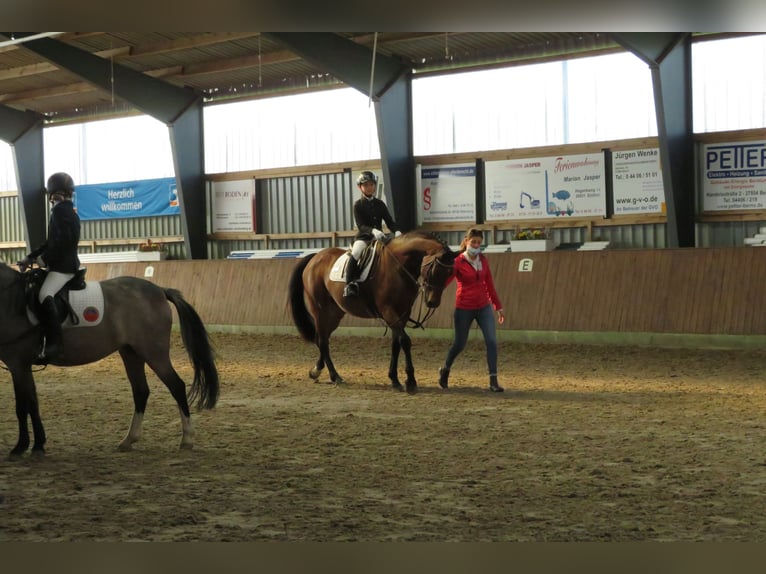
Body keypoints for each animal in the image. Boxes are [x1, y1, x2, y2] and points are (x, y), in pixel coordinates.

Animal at [0, 264, 219, 462]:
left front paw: (27, 447)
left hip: (153, 353)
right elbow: (28, 405)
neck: (11, 300)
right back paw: (128, 440)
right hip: (131, 352)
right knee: (141, 391)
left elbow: (25, 406)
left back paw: (187, 440)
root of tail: (159, 290)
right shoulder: (19, 366)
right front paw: (30, 446)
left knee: (176, 386)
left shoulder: (19, 364)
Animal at [288, 232, 456, 394]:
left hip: (334, 314)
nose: (433, 302)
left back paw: (316, 371)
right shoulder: (388, 311)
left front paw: (395, 380)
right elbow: (405, 341)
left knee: (322, 339)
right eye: (434, 270)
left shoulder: (402, 314)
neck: (398, 266)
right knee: (322, 341)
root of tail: (315, 257)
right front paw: (411, 382)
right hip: (320, 310)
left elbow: (396, 344)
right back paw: (335, 376)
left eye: (450, 273)